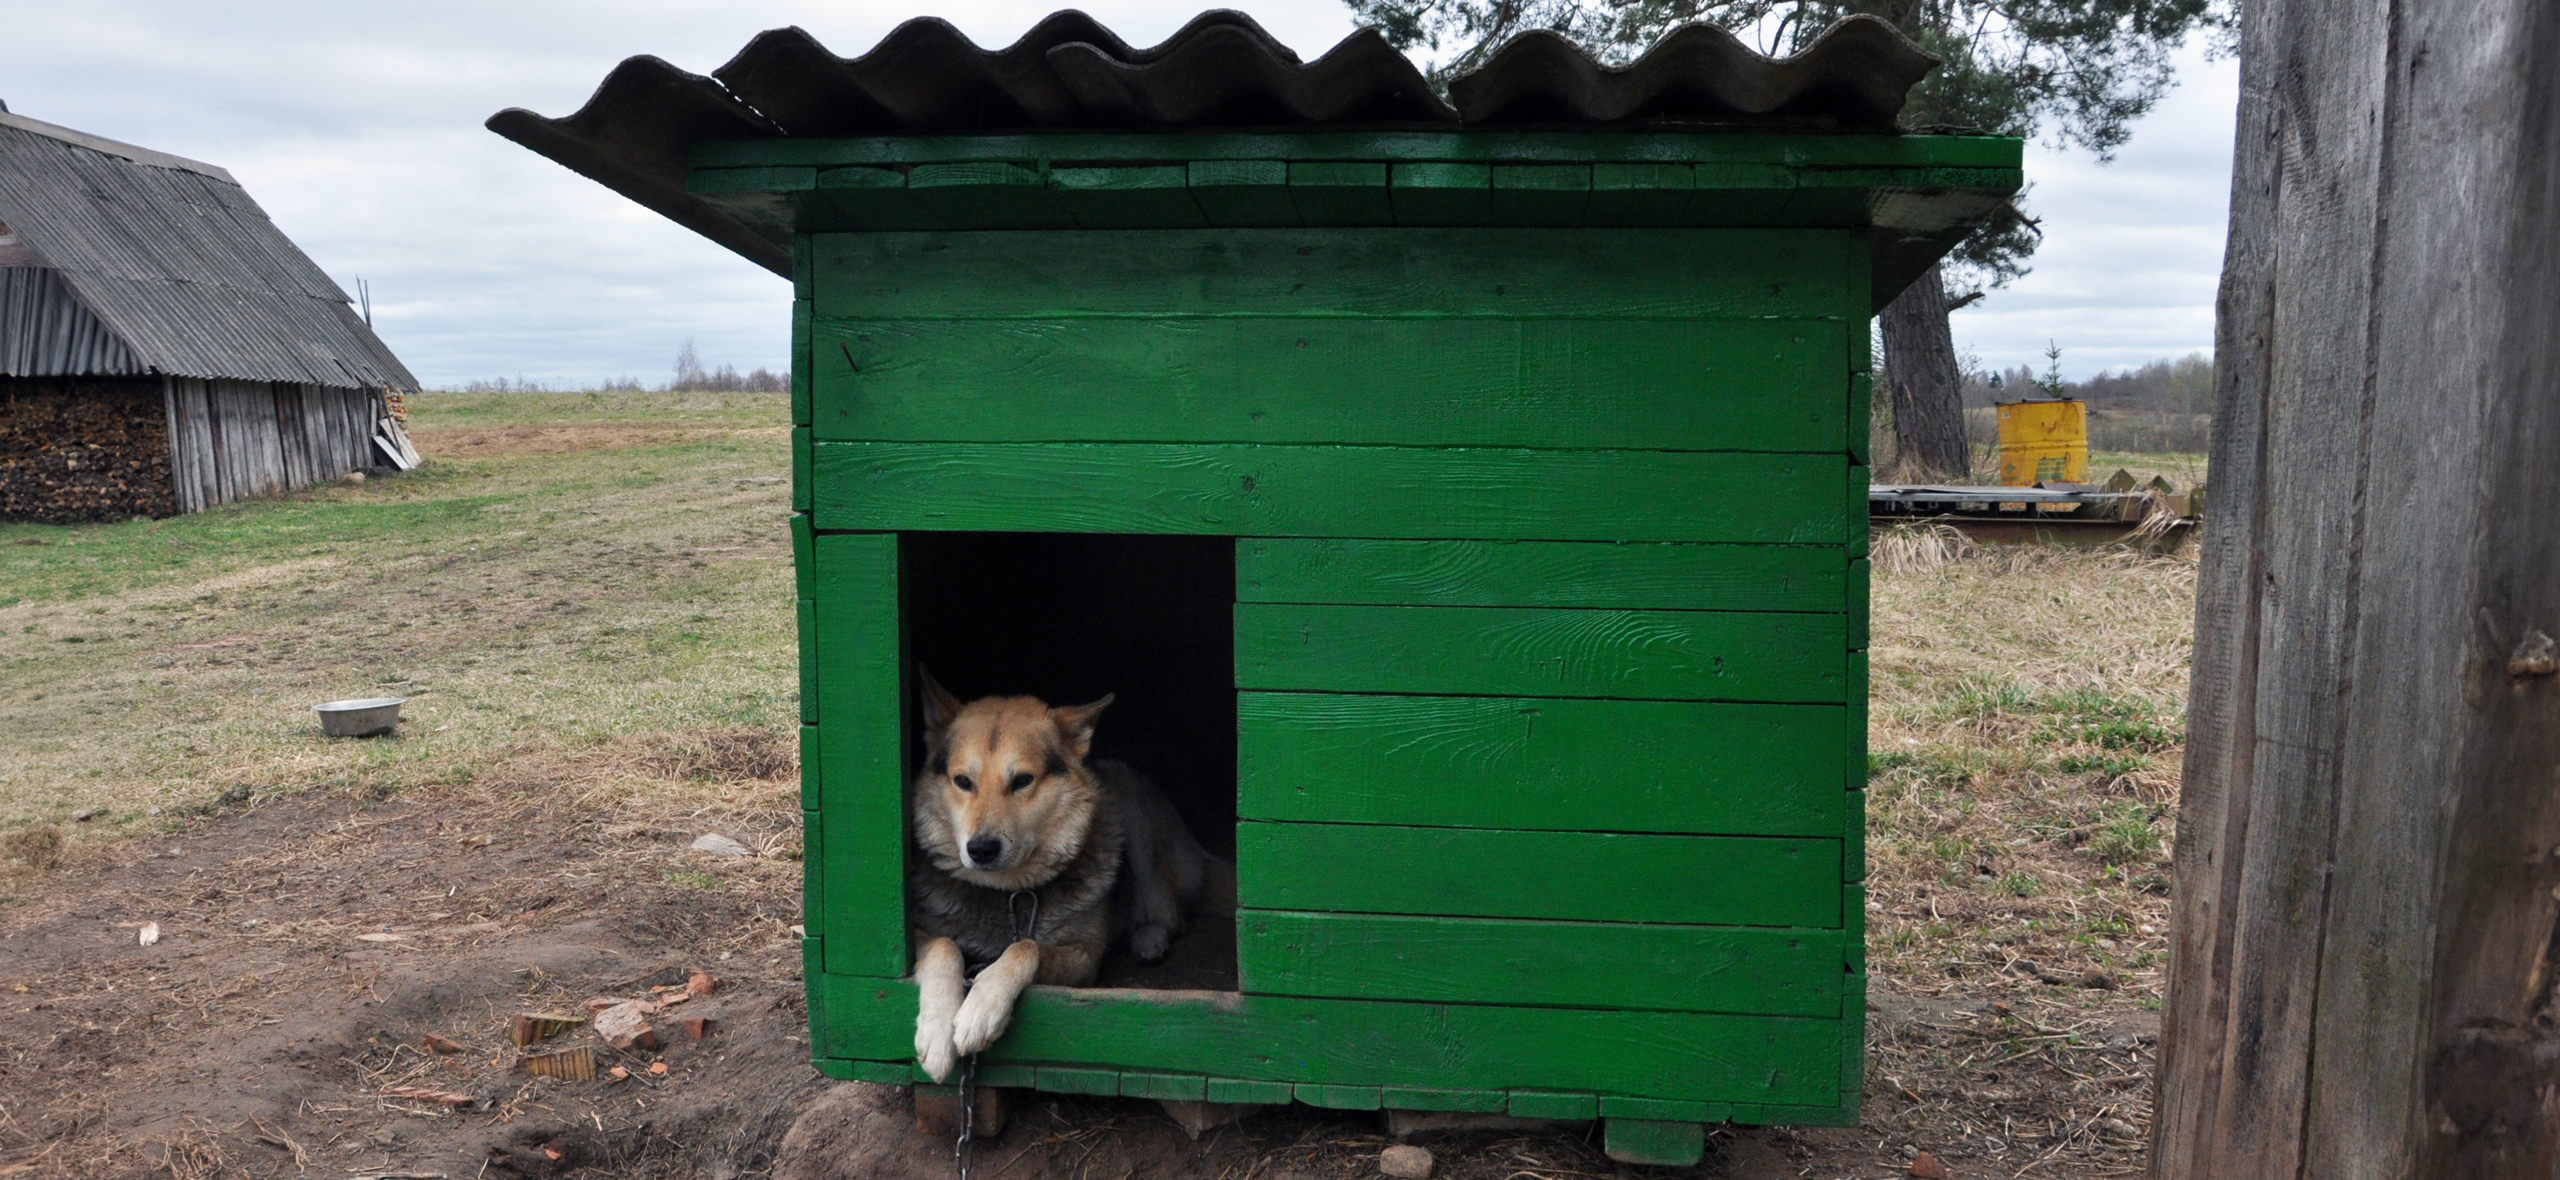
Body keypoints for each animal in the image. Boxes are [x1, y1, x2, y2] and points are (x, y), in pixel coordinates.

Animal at [901, 670, 1218, 1075]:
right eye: (963, 782)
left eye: (1022, 780)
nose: (981, 849)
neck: (1006, 893)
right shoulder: (915, 932)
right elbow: (944, 945)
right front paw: (938, 1035)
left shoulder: (1084, 959)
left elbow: (1026, 946)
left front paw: (981, 1009)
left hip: (1140, 825)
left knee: (1171, 913)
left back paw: (1150, 939)